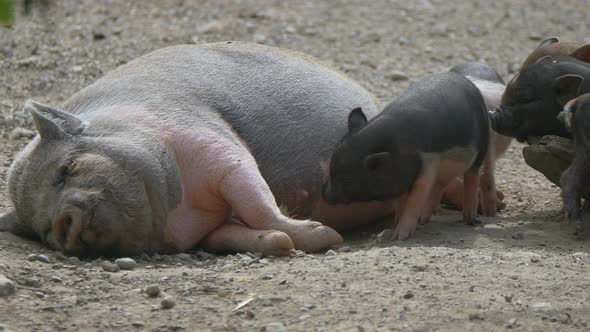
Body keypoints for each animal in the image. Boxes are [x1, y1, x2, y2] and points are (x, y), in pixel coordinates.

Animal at [1, 42, 394, 256]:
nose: (61, 223)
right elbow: (232, 233)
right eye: (40, 230)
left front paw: (327, 237)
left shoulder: (213, 143)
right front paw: (282, 243)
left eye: (66, 169)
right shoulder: (209, 229)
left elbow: (257, 201)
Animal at [324, 72, 490, 239]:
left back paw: (471, 220)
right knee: (440, 186)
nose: (325, 194)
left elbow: (417, 195)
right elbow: (401, 202)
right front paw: (393, 227)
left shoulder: (428, 161)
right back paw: (424, 220)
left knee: (472, 177)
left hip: (482, 147)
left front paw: (399, 237)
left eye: (345, 178)